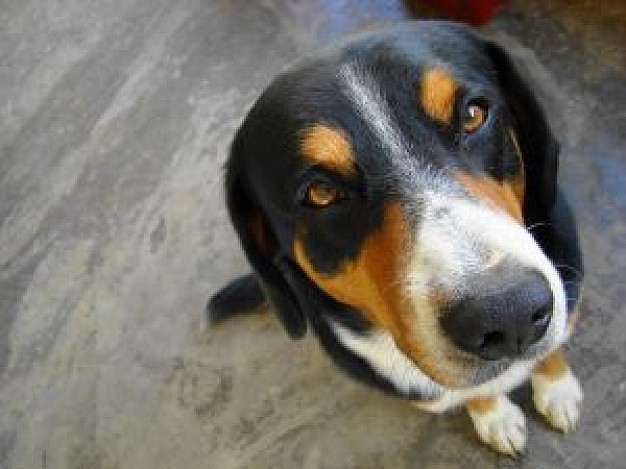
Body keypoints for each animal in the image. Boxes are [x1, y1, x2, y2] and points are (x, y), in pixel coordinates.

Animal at [207, 21, 584, 454]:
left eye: (473, 114)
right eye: (321, 192)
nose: (509, 313)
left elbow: (552, 352)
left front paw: (556, 389)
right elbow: (475, 393)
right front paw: (495, 416)